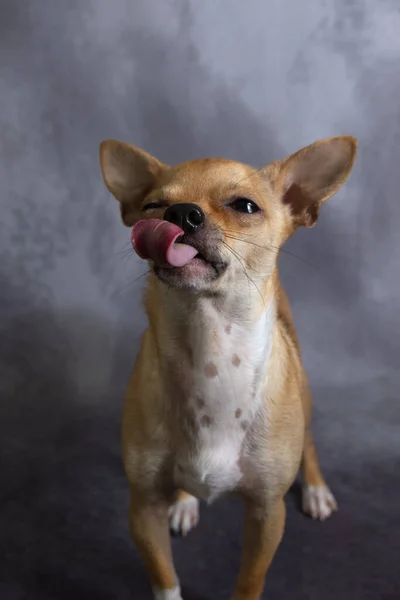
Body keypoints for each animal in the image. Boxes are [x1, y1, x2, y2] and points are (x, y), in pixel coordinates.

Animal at [99, 136, 356, 600]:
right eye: (152, 205)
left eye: (245, 206)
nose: (180, 212)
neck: (210, 352)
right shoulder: (143, 508)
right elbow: (165, 578)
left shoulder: (267, 514)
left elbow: (250, 580)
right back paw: (184, 502)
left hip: (305, 397)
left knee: (309, 442)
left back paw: (316, 491)